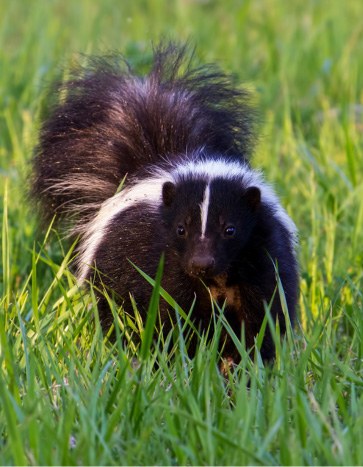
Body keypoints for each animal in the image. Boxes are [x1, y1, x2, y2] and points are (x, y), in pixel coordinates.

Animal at [32, 44, 298, 364]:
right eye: (181, 229)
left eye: (230, 230)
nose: (201, 264)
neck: (218, 280)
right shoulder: (163, 262)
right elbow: (171, 313)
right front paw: (180, 359)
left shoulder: (263, 257)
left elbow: (264, 316)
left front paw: (245, 363)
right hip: (111, 269)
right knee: (114, 311)